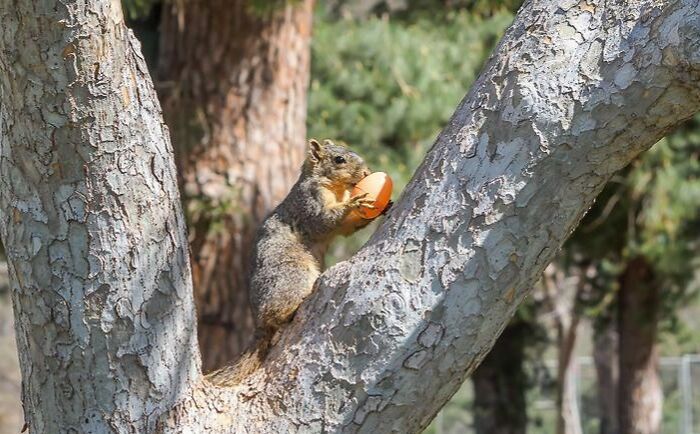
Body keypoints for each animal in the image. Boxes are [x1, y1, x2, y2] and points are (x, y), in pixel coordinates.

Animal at [205, 139, 386, 386]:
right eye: (339, 160)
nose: (367, 172)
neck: (335, 188)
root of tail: (258, 321)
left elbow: (347, 227)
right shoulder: (309, 202)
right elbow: (324, 221)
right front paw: (354, 202)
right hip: (293, 273)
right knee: (276, 313)